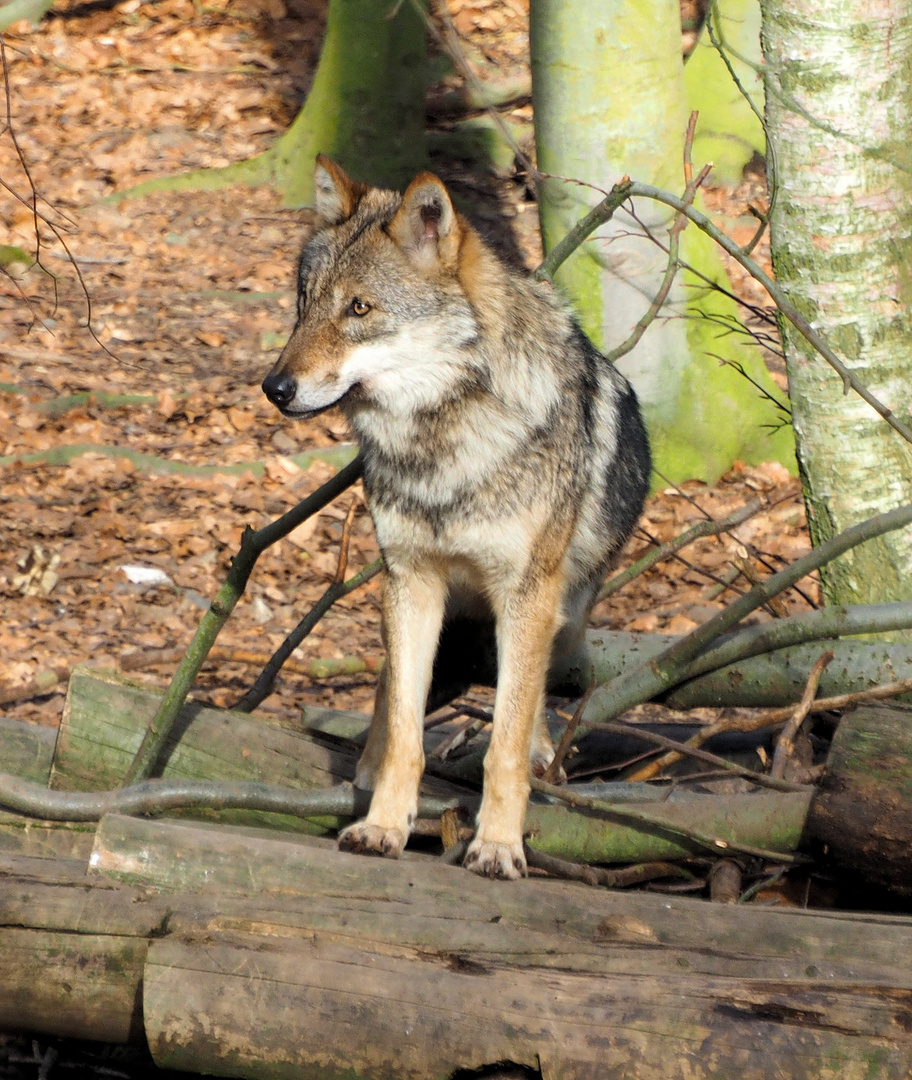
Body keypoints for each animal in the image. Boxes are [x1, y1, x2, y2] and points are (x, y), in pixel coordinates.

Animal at [260, 156, 652, 881]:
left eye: (359, 308)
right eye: (304, 303)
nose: (275, 389)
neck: (443, 451)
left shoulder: (525, 595)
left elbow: (503, 742)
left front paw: (496, 845)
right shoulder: (410, 579)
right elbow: (406, 735)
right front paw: (383, 826)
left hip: (560, 618)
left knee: (528, 699)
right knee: (391, 691)